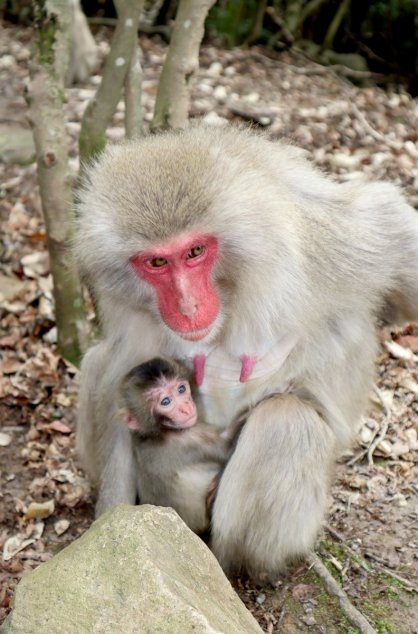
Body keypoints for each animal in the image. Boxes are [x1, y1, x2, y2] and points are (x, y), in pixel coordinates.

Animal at [120, 358, 232, 532]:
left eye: (181, 389)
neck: (157, 433)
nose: (186, 407)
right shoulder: (189, 440)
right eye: (165, 402)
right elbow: (227, 444)